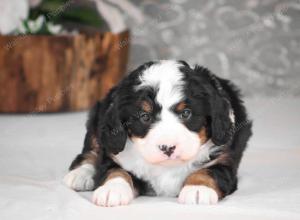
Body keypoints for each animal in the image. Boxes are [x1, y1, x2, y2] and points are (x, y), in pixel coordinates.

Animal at [63, 59, 253, 206]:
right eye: (144, 117)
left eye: (186, 113)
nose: (167, 148)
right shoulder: (114, 153)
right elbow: (115, 170)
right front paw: (112, 189)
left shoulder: (224, 158)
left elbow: (210, 171)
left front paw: (198, 189)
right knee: (91, 148)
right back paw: (80, 174)